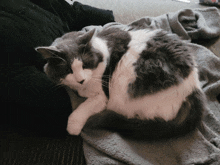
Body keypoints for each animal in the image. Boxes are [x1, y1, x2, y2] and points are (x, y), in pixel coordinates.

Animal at [36, 26, 206, 139]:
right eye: (68, 70)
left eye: (85, 65)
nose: (81, 80)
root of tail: (194, 87)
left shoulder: (102, 95)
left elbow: (82, 108)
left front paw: (73, 126)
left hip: (123, 91)